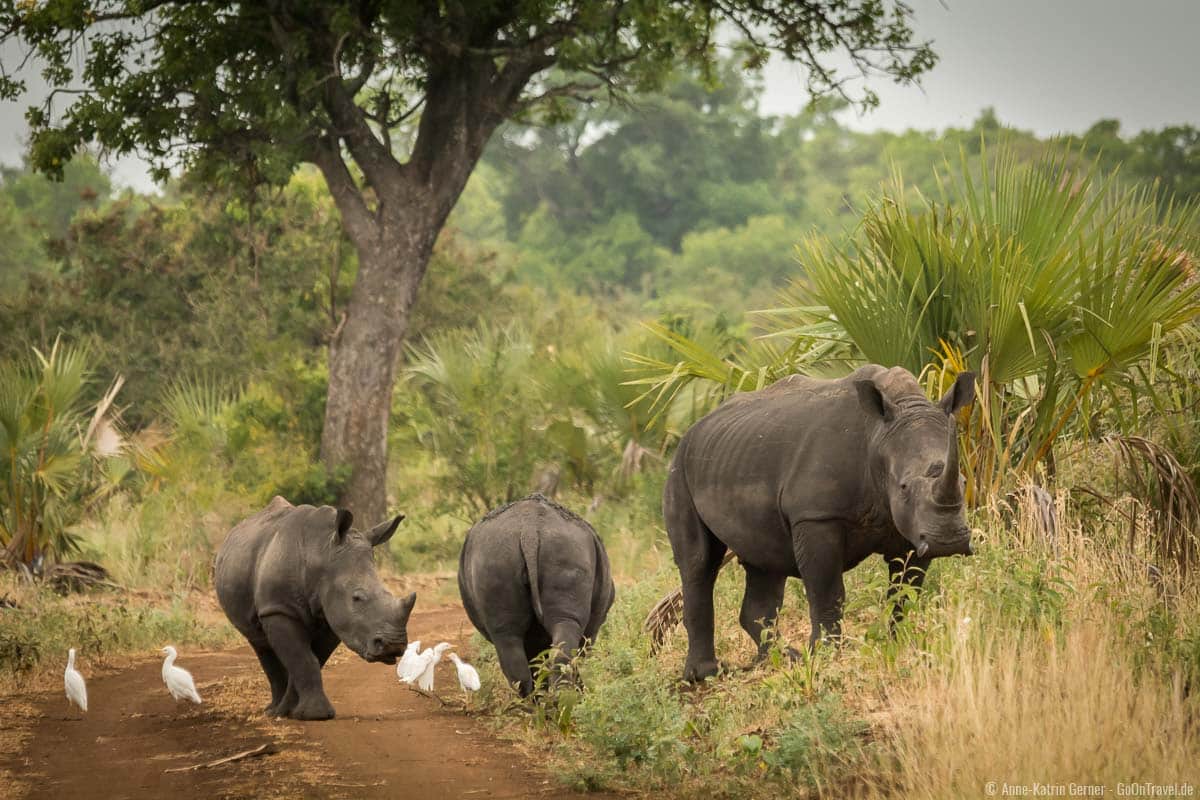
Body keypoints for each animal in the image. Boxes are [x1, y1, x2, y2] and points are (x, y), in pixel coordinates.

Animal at [216, 496, 417, 724]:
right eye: (356, 599)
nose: (393, 645)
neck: (321, 553)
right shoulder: (278, 609)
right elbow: (304, 658)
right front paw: (312, 715)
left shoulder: (335, 618)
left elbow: (312, 659)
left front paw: (293, 711)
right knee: (259, 642)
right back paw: (271, 711)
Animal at [456, 494, 614, 695]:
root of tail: (529, 531)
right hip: (565, 549)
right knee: (565, 632)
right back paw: (561, 698)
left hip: (497, 557)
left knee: (508, 638)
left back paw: (538, 701)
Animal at [667, 364, 974, 681]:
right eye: (903, 487)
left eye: (964, 482)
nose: (948, 541)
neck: (878, 437)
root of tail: (694, 428)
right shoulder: (816, 516)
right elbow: (827, 591)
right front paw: (825, 657)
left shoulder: (914, 529)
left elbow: (905, 591)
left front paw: (901, 643)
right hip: (680, 469)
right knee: (699, 563)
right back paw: (706, 674)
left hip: (740, 456)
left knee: (766, 560)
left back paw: (779, 660)